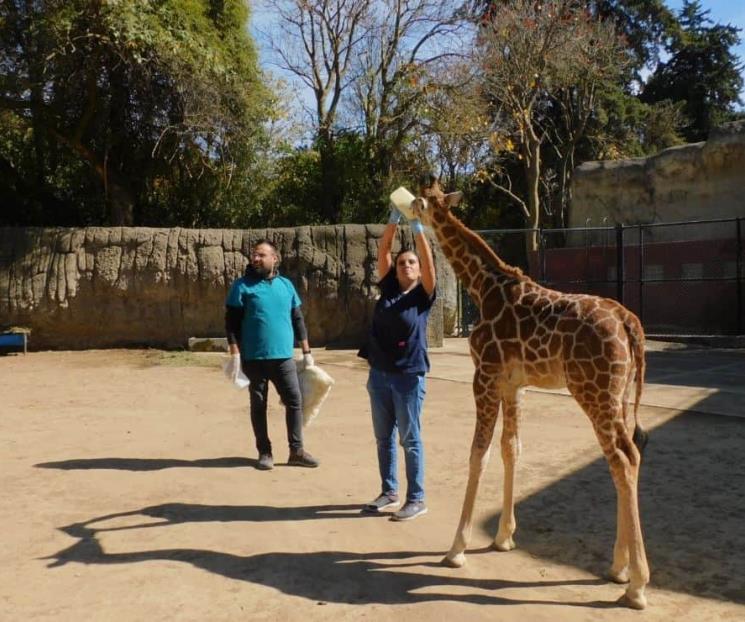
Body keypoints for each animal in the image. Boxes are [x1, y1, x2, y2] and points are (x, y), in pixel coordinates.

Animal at [412, 178, 652, 612]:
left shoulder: (485, 375)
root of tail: (630, 324)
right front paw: (504, 537)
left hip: (593, 392)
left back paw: (637, 586)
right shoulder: (513, 384)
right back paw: (619, 568)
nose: (405, 208)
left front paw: (457, 549)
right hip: (620, 396)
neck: (482, 287)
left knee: (622, 460)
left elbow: (479, 452)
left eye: (422, 201)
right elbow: (512, 448)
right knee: (633, 454)